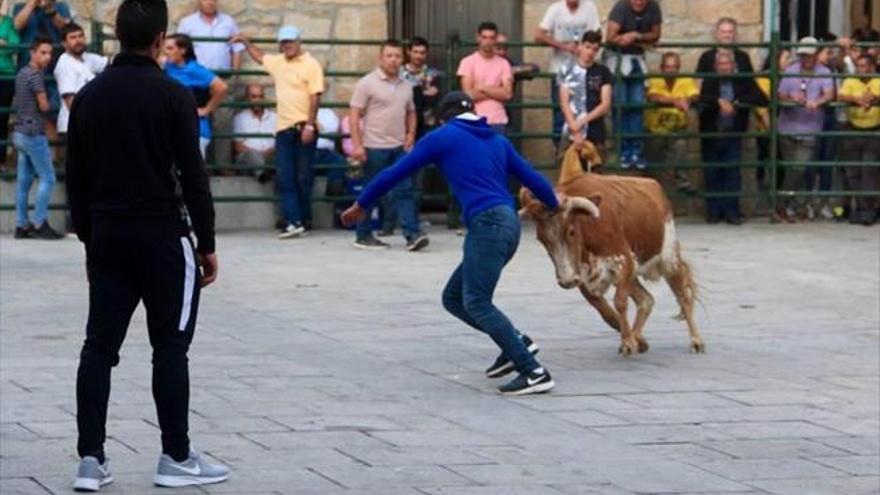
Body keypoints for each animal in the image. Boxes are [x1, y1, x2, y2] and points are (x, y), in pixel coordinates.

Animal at [520, 163, 704, 356]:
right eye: (541, 239)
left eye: (571, 231)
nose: (567, 281)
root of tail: (654, 186)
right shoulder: (584, 277)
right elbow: (604, 311)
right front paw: (631, 338)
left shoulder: (624, 261)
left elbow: (620, 302)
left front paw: (628, 342)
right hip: (632, 275)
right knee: (646, 300)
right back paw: (638, 337)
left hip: (668, 259)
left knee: (683, 296)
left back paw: (696, 341)